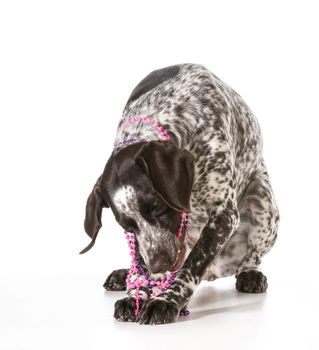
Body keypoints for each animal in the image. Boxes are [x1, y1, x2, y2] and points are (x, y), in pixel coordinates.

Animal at [80, 63, 280, 326]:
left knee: (251, 258)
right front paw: (136, 294)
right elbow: (140, 262)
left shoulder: (224, 216)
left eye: (159, 208)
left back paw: (250, 274)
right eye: (127, 225)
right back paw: (126, 275)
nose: (159, 265)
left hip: (263, 203)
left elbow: (192, 266)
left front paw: (166, 300)